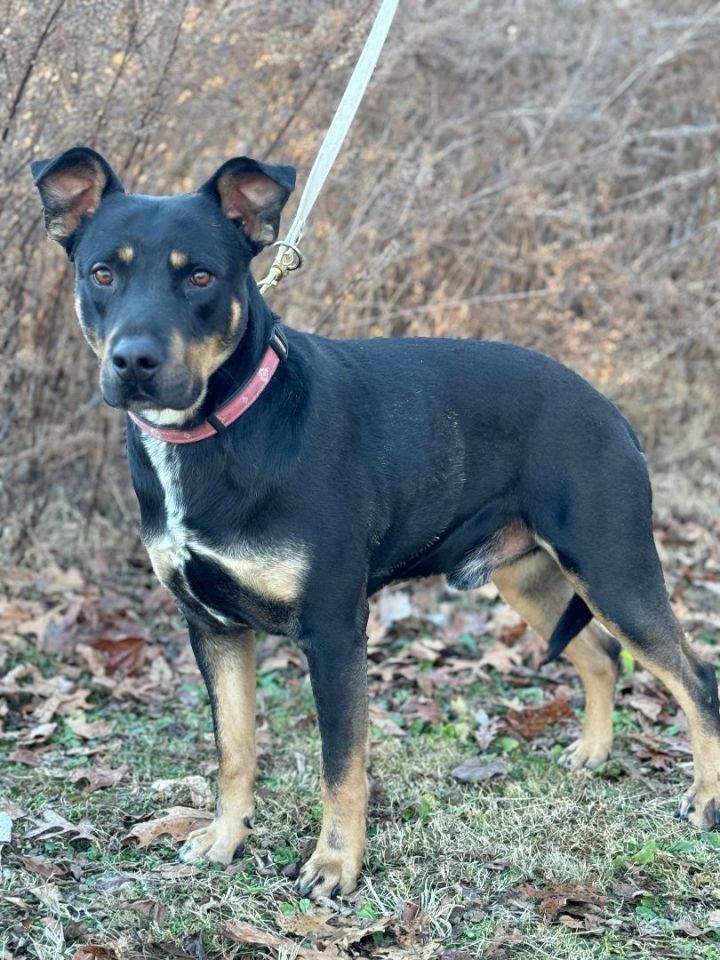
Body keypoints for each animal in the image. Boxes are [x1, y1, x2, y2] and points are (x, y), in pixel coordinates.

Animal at [32, 144, 720, 900]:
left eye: (201, 276)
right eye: (102, 272)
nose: (134, 360)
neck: (223, 426)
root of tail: (608, 408)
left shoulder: (333, 631)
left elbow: (341, 765)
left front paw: (335, 865)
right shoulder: (213, 627)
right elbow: (235, 749)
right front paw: (225, 837)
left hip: (611, 566)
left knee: (694, 675)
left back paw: (705, 797)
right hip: (531, 578)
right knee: (600, 655)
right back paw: (593, 753)